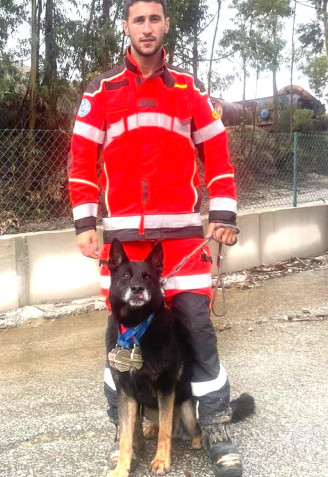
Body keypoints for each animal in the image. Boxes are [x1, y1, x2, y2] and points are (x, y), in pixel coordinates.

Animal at [105, 240, 254, 476]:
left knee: (188, 426)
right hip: (149, 407)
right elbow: (126, 438)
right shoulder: (125, 393)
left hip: (185, 406)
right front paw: (121, 468)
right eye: (126, 276)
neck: (137, 327)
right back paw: (151, 428)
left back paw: (199, 438)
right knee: (161, 425)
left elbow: (165, 432)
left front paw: (161, 460)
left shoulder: (166, 387)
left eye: (147, 277)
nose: (137, 289)